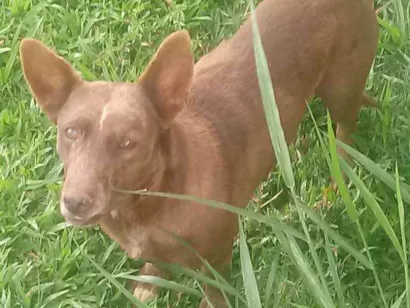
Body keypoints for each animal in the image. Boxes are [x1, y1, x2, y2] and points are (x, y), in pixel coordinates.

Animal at [19, 0, 378, 306]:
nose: (75, 202)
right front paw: (150, 281)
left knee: (346, 128)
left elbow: (214, 289)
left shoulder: (217, 253)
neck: (150, 202)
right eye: (71, 132)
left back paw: (342, 171)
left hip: (341, 91)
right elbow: (155, 264)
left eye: (128, 143)